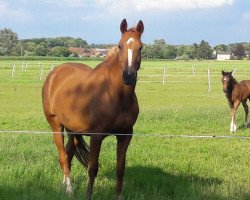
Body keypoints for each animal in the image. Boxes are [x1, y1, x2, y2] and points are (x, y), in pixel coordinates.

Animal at [42, 19, 144, 198]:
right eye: (120, 46)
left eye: (141, 47)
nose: (129, 76)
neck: (114, 94)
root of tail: (54, 73)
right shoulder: (96, 136)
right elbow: (92, 169)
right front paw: (88, 195)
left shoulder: (125, 135)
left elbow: (120, 169)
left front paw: (118, 196)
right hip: (56, 126)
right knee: (62, 157)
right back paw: (69, 189)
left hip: (74, 130)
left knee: (68, 154)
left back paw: (65, 184)